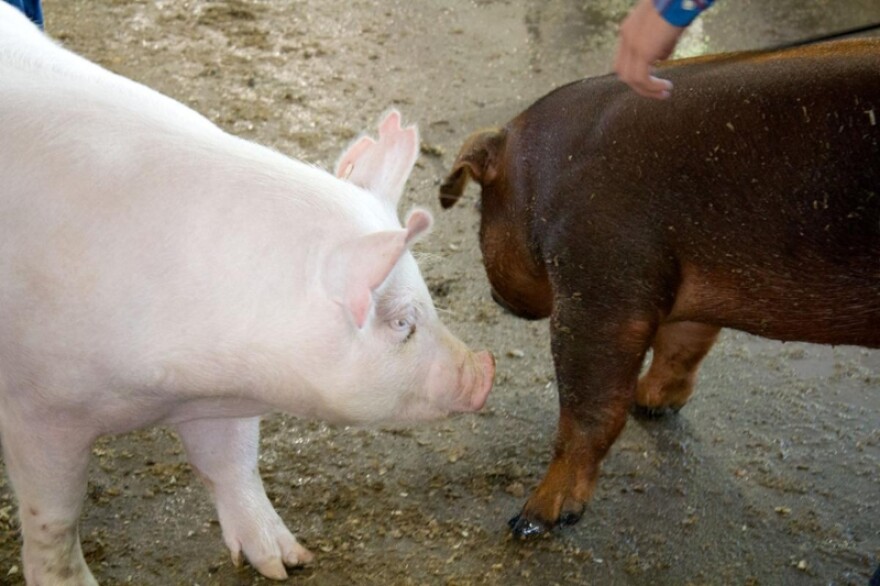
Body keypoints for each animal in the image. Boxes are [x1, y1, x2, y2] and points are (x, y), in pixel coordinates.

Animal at [0, 4, 494, 584]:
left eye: (429, 302)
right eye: (400, 323)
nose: (484, 367)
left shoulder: (218, 396)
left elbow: (233, 460)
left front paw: (287, 562)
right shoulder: (37, 407)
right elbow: (53, 519)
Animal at [440, 38, 880, 538]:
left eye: (481, 210)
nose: (495, 297)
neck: (542, 177)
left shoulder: (599, 280)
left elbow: (587, 407)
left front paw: (531, 519)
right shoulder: (684, 274)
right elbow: (683, 344)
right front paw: (649, 405)